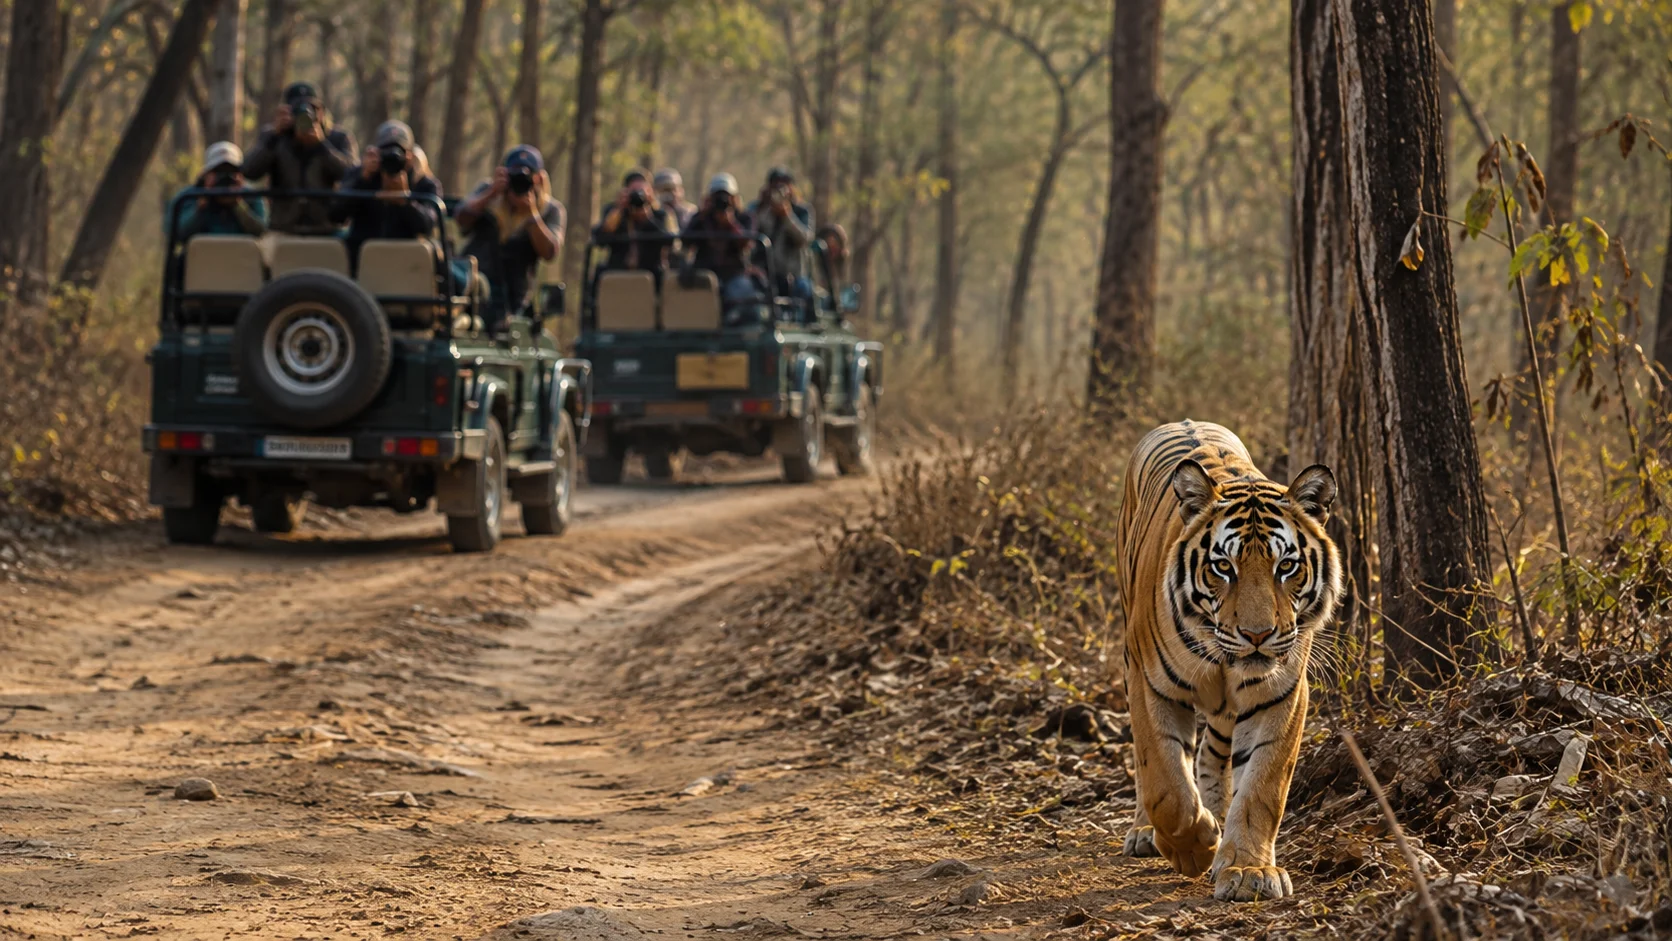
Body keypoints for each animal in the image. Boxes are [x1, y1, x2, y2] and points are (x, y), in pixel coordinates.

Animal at [1112, 420, 1341, 902]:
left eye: (1286, 566)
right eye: (1223, 567)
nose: (1257, 635)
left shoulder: (1282, 694)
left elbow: (1262, 788)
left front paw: (1248, 869)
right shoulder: (1149, 683)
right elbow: (1165, 783)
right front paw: (1192, 847)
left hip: (1225, 710)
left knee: (1213, 754)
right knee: (1147, 766)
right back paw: (1147, 832)